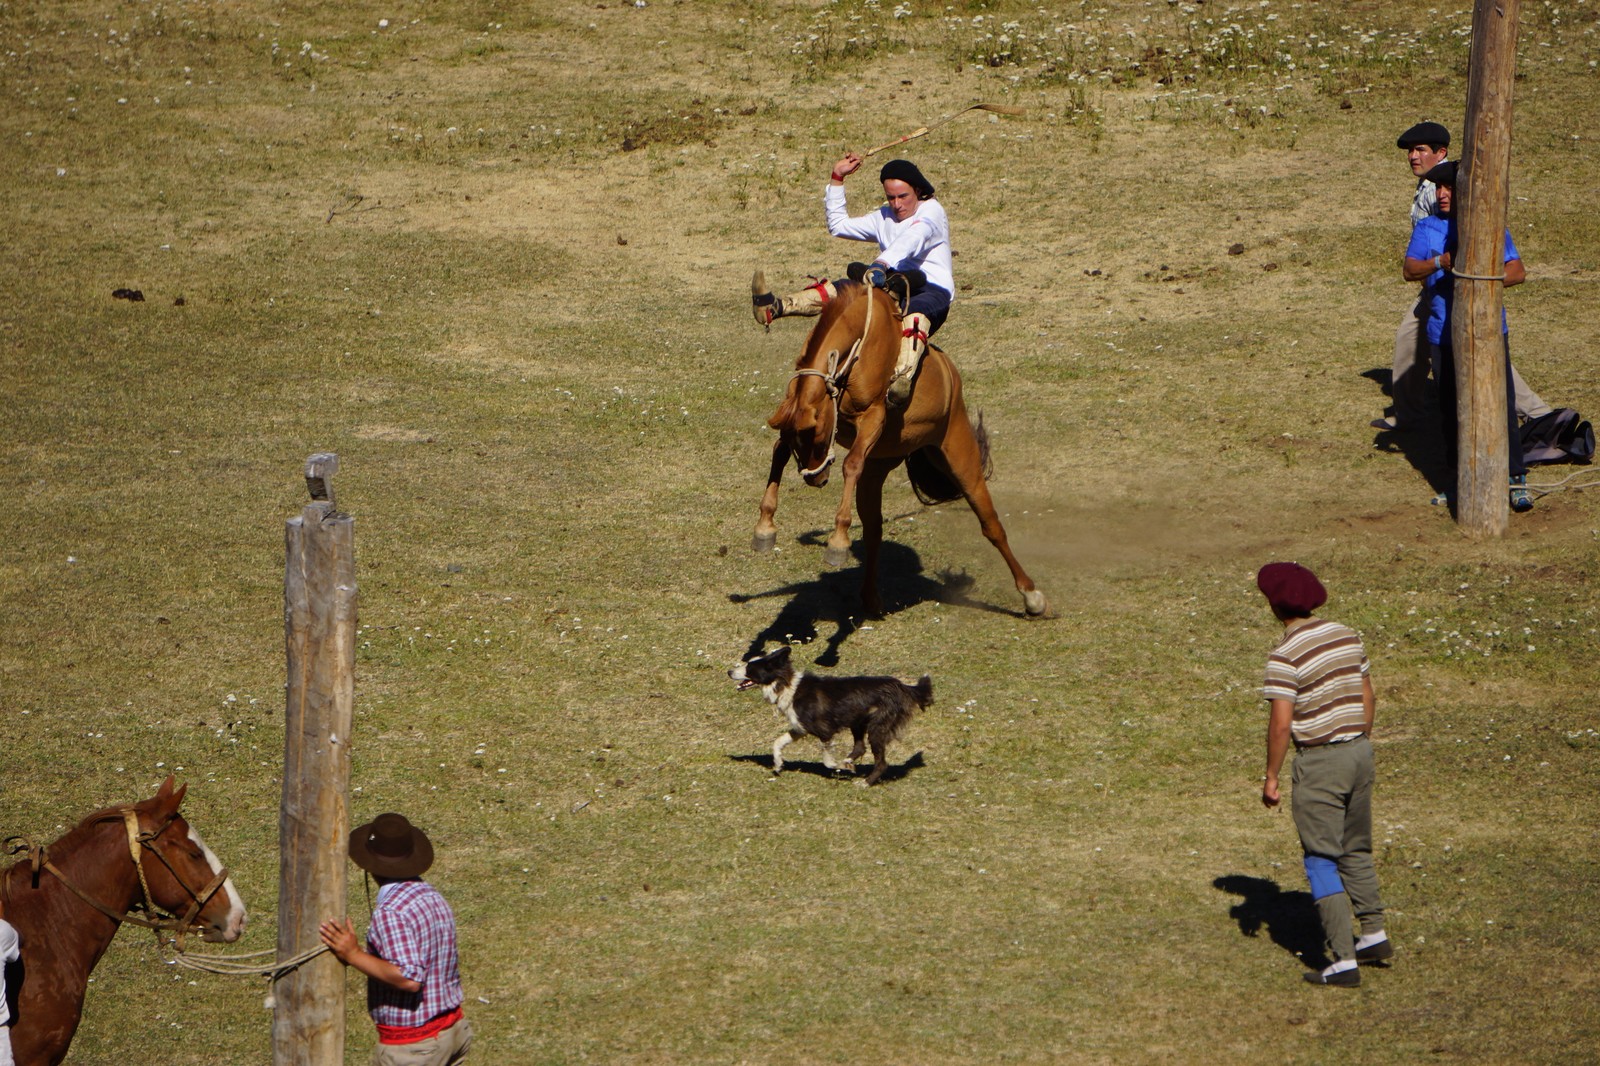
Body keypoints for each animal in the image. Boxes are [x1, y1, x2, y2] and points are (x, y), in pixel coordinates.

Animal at [729, 643, 934, 784]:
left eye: (749, 668)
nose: (729, 671)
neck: (786, 685)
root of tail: (902, 686)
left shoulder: (824, 731)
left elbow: (827, 761)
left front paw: (840, 767)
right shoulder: (800, 728)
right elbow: (778, 742)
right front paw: (778, 763)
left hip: (876, 726)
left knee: (881, 762)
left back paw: (864, 782)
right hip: (858, 722)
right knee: (860, 747)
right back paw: (850, 762)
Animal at [752, 278, 1049, 617]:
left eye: (816, 435)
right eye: (804, 438)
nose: (816, 479)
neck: (861, 337)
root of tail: (950, 376)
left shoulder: (873, 417)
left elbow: (850, 464)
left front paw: (837, 543)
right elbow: (779, 450)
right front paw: (764, 527)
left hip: (960, 456)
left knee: (991, 525)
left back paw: (1032, 595)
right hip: (879, 467)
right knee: (874, 530)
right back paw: (871, 598)